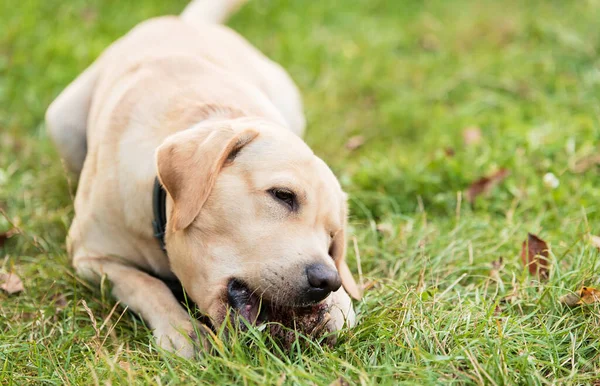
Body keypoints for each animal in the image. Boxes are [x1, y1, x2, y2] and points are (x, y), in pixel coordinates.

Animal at [45, 0, 360, 358]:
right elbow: (147, 284)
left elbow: (347, 312)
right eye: (282, 195)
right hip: (61, 121)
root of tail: (184, 22)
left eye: (333, 236)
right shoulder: (91, 258)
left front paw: (337, 307)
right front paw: (183, 330)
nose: (327, 280)